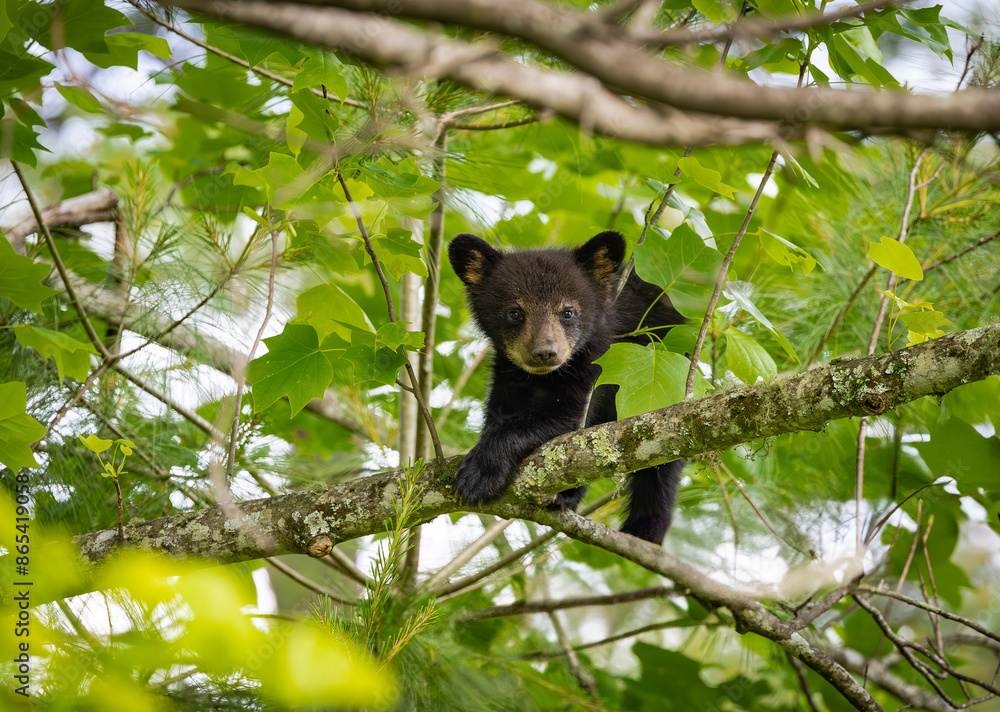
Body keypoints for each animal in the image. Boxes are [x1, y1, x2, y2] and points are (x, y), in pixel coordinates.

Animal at [447, 230, 686, 544]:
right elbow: (501, 414)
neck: (545, 377)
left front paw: (479, 474)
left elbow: (568, 418)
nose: (544, 352)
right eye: (514, 313)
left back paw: (644, 528)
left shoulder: (597, 366)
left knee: (661, 463)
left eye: (568, 312)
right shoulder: (508, 375)